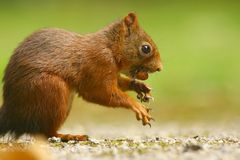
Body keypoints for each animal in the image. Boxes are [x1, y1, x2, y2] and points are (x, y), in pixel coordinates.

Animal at [0, 12, 162, 141]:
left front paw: (140, 87)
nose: (160, 68)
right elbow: (98, 92)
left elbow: (119, 83)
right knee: (45, 133)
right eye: (146, 48)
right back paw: (68, 136)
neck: (110, 47)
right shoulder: (97, 63)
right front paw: (136, 105)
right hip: (50, 90)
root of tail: (11, 113)